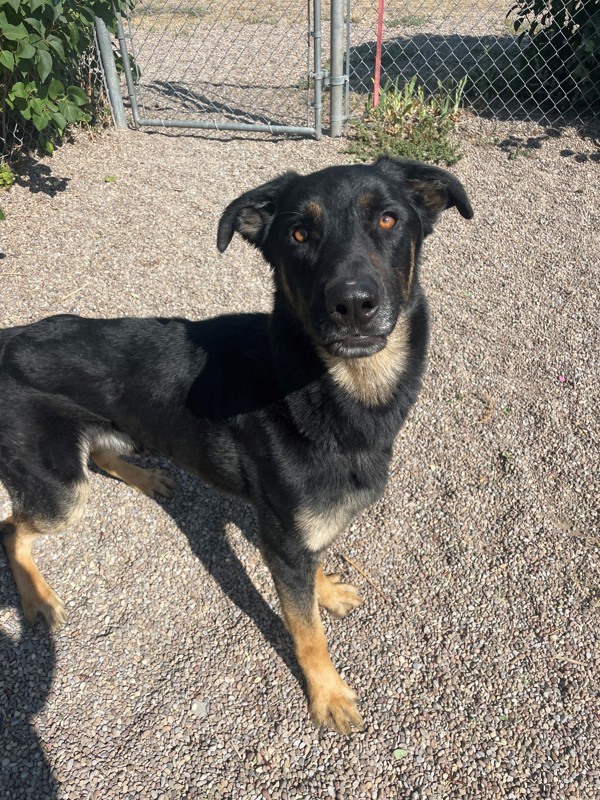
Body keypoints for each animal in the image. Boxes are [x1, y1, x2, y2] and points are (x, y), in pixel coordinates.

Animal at [0, 156, 474, 732]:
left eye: (388, 219)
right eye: (298, 234)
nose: (353, 304)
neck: (318, 385)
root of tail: (7, 339)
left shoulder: (294, 534)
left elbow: (311, 579)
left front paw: (327, 592)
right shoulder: (284, 538)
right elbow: (306, 632)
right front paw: (327, 695)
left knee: (103, 452)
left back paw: (149, 476)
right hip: (60, 491)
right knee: (12, 529)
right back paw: (38, 598)